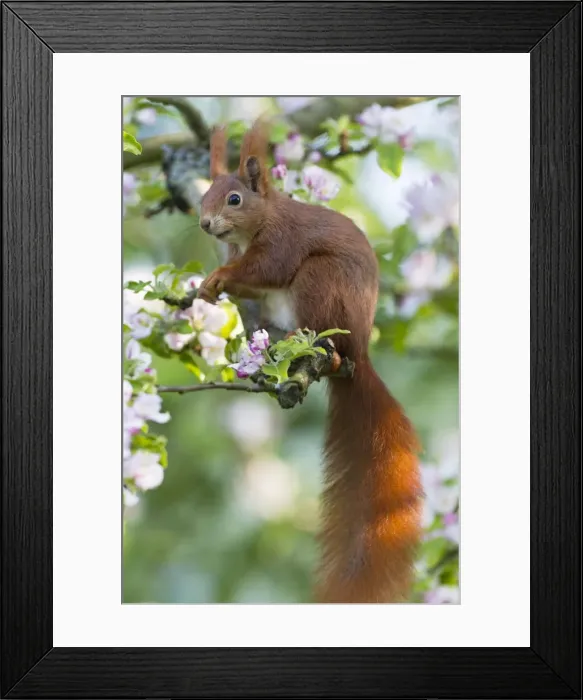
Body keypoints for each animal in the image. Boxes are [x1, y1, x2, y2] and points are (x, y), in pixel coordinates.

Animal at [197, 120, 422, 603]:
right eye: (204, 195)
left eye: (234, 199)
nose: (205, 223)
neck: (263, 219)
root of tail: (358, 353)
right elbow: (252, 284)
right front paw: (212, 287)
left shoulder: (281, 243)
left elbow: (268, 268)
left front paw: (220, 276)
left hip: (321, 283)